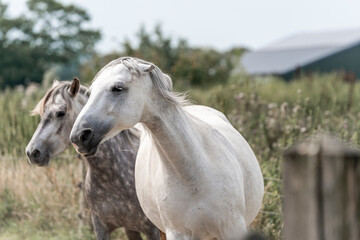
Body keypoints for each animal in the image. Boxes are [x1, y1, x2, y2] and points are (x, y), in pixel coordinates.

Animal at [25, 78, 160, 239]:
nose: (32, 152)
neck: (113, 177)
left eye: (61, 113)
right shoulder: (105, 228)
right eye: (41, 114)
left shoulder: (151, 230)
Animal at [70, 56, 262, 240]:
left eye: (117, 88)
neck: (194, 174)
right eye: (90, 93)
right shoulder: (177, 233)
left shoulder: (233, 228)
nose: (79, 136)